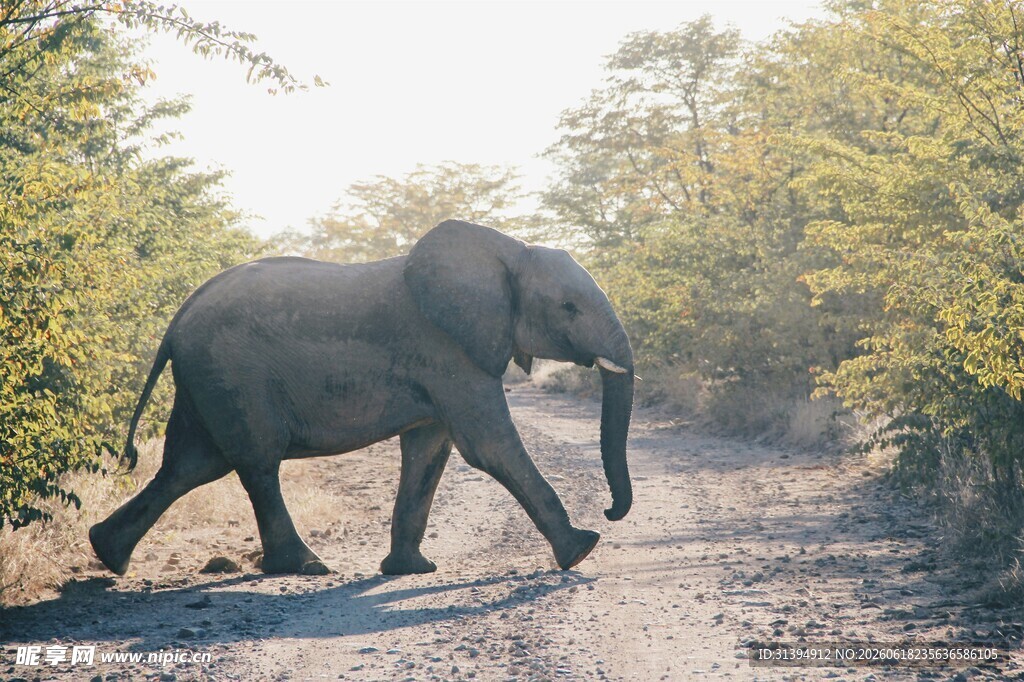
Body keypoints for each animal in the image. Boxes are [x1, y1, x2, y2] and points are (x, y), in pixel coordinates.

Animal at [89, 220, 635, 576]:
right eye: (568, 307)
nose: (611, 512)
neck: (509, 249)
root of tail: (175, 321)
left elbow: (428, 452)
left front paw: (411, 570)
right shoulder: (448, 349)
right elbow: (489, 446)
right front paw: (582, 550)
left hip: (205, 381)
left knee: (190, 466)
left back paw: (108, 556)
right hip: (231, 375)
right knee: (255, 463)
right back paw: (306, 567)